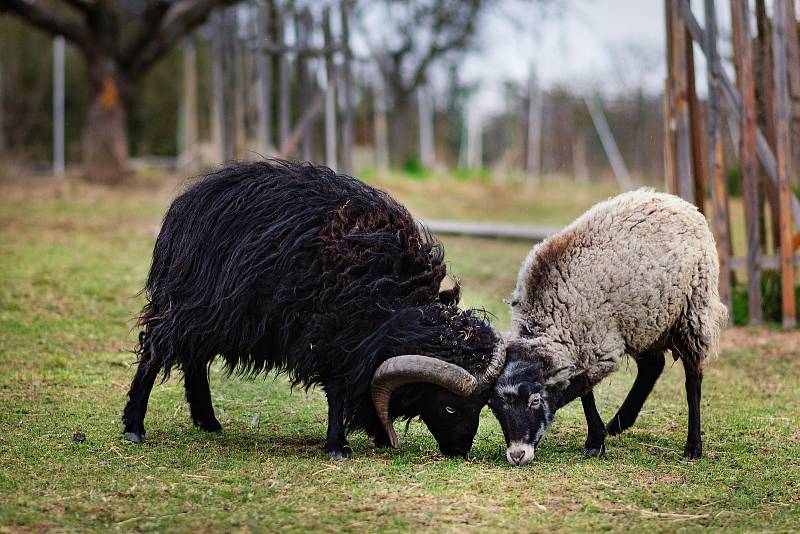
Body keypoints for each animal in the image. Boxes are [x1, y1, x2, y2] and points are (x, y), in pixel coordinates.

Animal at [122, 160, 504, 460]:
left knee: (193, 358)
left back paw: (208, 422)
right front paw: (339, 447)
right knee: (156, 350)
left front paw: (378, 435)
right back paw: (134, 427)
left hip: (213, 317)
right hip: (193, 304)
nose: (459, 451)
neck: (396, 307)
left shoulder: (358, 345)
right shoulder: (334, 334)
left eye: (480, 405)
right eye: (449, 405)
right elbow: (338, 391)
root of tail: (187, 203)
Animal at [484, 191, 728, 466]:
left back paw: (693, 446)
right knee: (652, 367)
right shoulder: (584, 343)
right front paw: (597, 438)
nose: (517, 455)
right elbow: (585, 394)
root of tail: (674, 200)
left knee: (692, 380)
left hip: (693, 313)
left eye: (534, 401)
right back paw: (619, 423)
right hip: (640, 322)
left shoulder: (598, 346)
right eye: (494, 408)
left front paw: (594, 441)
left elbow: (580, 389)